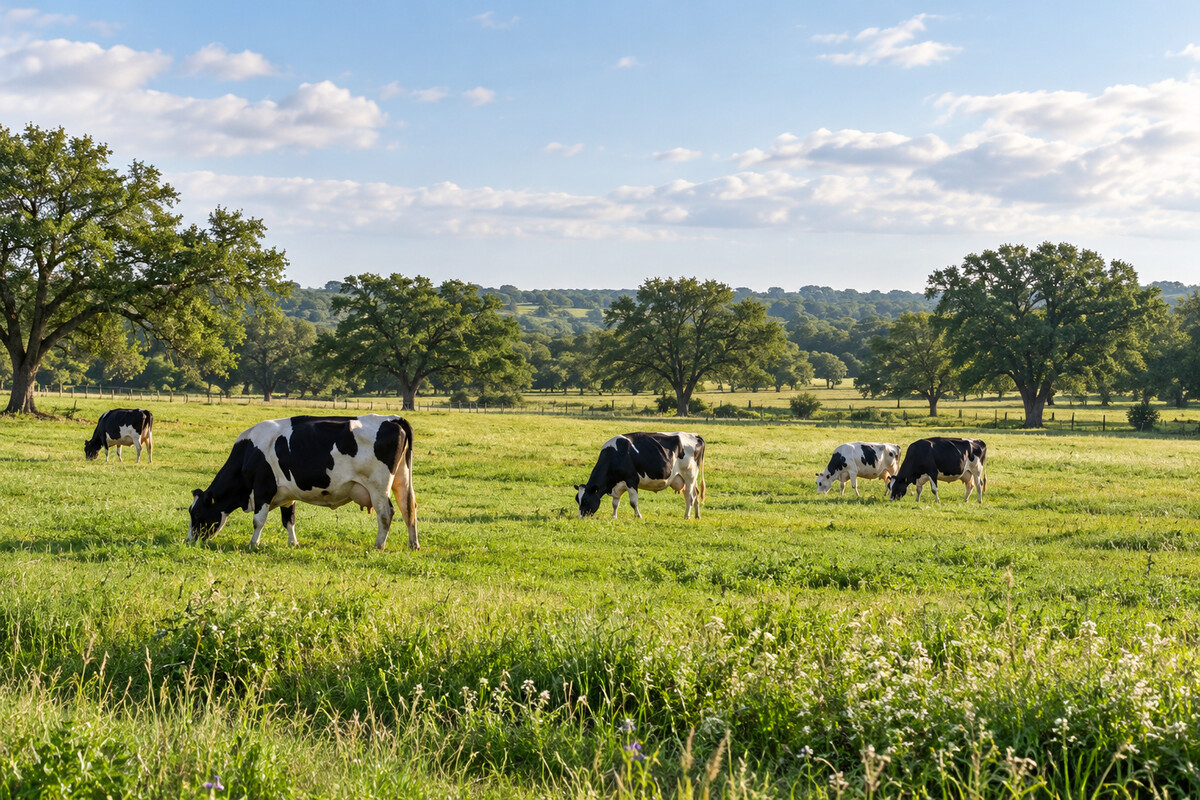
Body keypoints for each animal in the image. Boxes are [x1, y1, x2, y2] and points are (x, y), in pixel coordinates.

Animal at [187, 414, 418, 550]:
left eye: (196, 514)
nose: (189, 540)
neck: (249, 452)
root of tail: (393, 419)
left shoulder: (263, 488)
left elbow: (258, 520)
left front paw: (253, 543)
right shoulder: (286, 492)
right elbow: (289, 519)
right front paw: (293, 543)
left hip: (378, 486)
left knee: (386, 513)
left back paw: (379, 545)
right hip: (402, 479)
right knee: (409, 509)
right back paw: (413, 545)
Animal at [575, 432, 705, 519]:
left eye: (585, 500)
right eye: (577, 499)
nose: (580, 517)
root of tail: (695, 435)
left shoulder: (631, 480)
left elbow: (633, 502)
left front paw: (638, 516)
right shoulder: (617, 485)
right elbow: (615, 503)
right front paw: (614, 516)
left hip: (689, 476)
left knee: (690, 497)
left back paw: (687, 516)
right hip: (688, 478)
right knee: (696, 494)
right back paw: (697, 516)